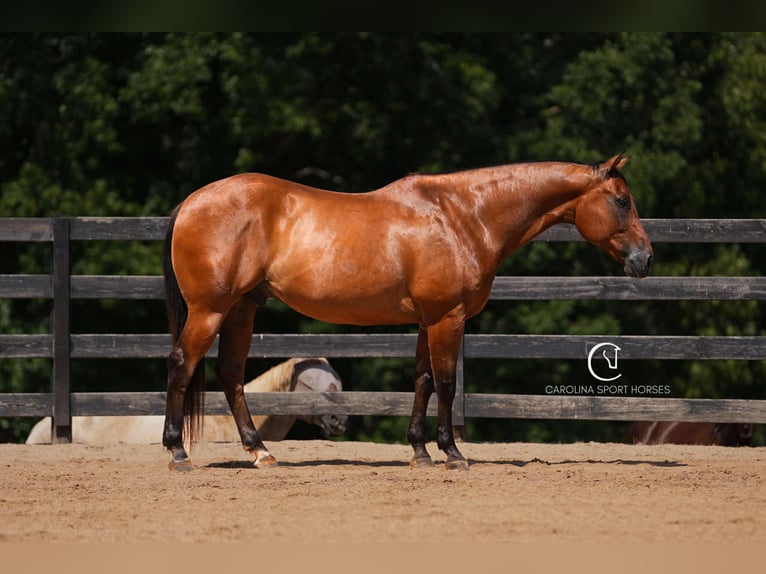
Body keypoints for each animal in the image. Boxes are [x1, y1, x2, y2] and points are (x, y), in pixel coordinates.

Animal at [163, 153, 653, 472]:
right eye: (622, 200)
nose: (646, 259)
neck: (463, 216)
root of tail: (191, 201)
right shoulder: (447, 317)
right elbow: (446, 383)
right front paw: (452, 454)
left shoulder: (425, 320)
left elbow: (422, 381)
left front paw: (419, 452)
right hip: (210, 310)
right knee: (182, 364)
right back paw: (178, 454)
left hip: (241, 308)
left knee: (230, 373)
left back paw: (261, 452)